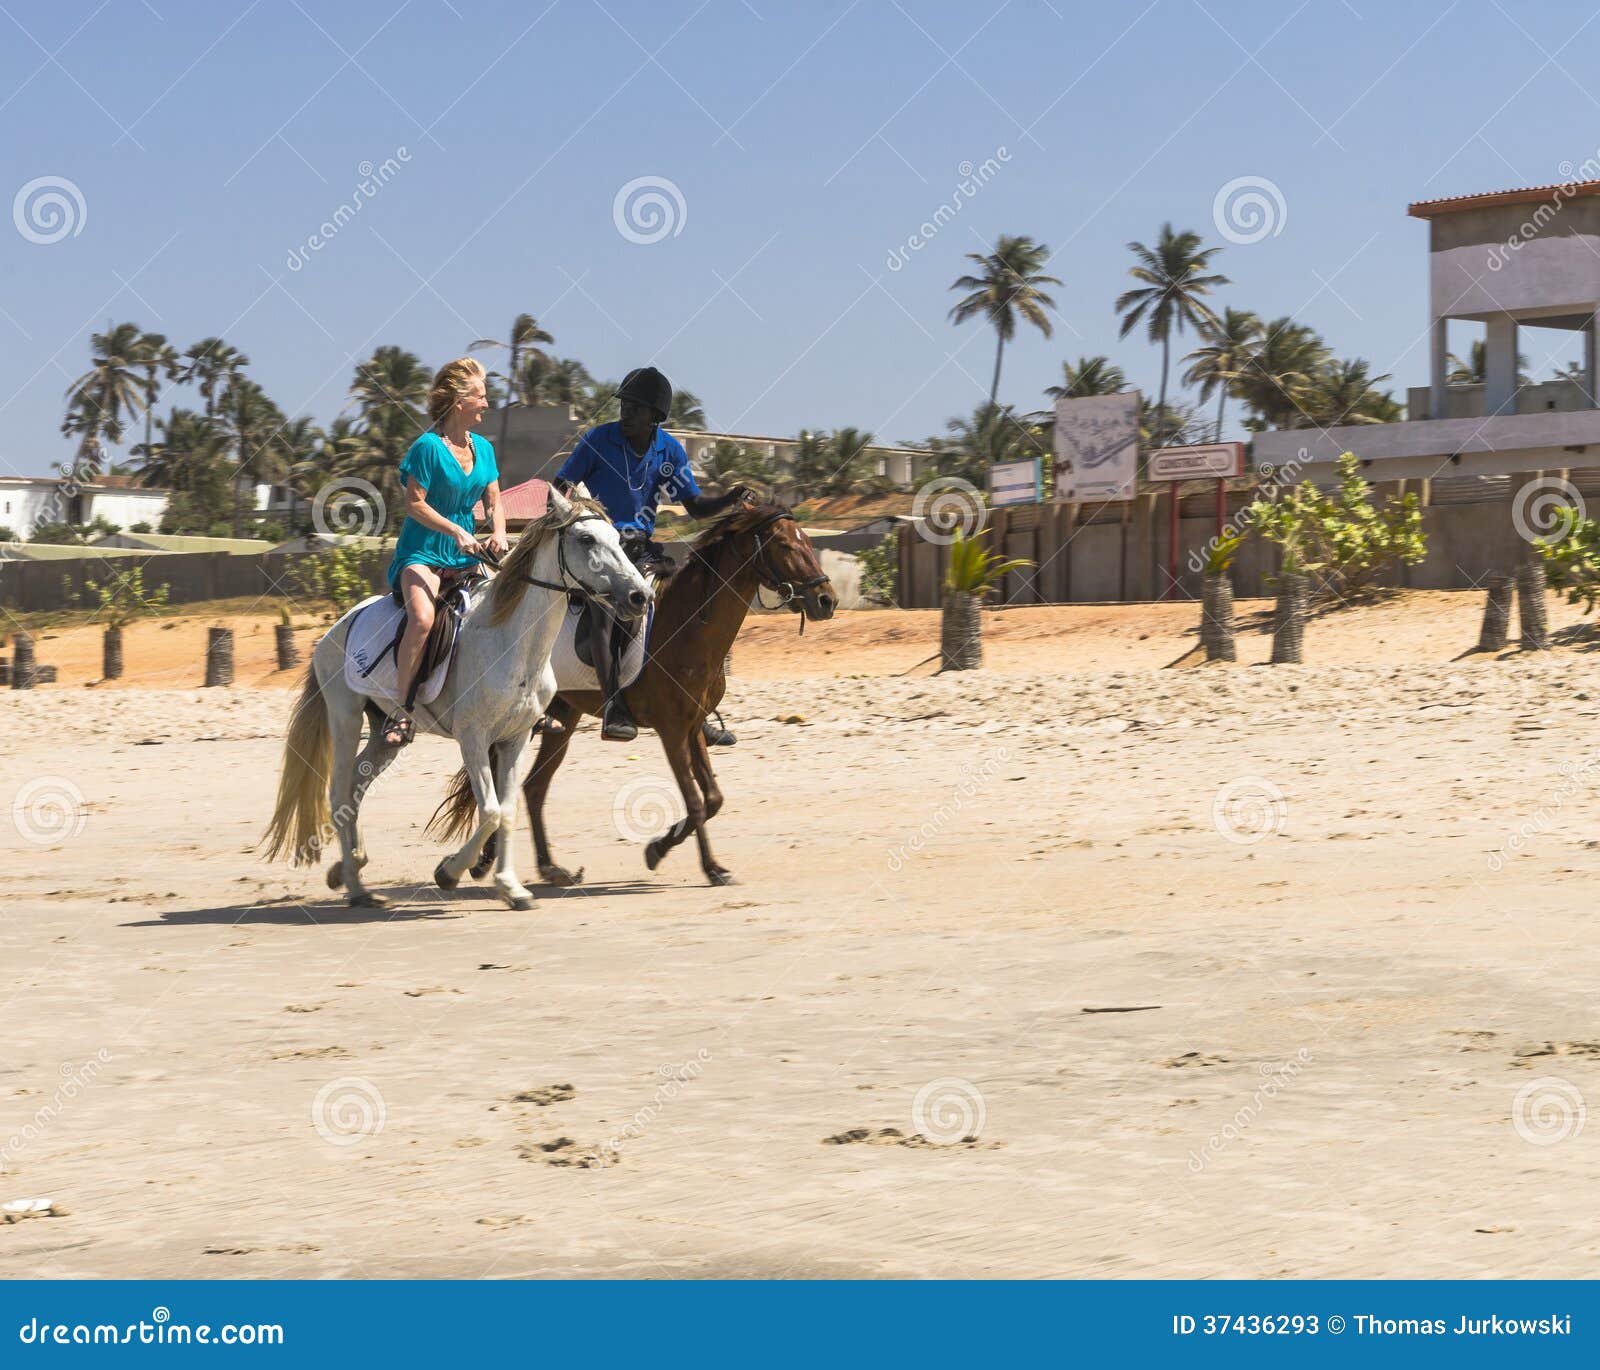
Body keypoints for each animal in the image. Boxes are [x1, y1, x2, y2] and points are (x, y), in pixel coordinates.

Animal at [262, 492, 649, 909]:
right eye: (586, 540)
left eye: (617, 538)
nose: (640, 596)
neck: (514, 642)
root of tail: (338, 627)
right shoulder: (474, 738)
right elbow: (490, 811)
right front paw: (448, 872)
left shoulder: (514, 739)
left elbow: (507, 811)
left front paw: (511, 887)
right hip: (346, 716)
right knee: (337, 792)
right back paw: (355, 886)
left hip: (385, 735)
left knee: (354, 789)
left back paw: (352, 866)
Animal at [432, 502, 844, 889]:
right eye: (786, 545)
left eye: (809, 542)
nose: (827, 600)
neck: (687, 626)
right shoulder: (672, 730)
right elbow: (696, 801)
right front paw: (692, 861)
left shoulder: (693, 726)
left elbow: (712, 798)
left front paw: (670, 849)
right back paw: (485, 861)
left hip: (561, 720)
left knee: (533, 787)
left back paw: (546, 868)